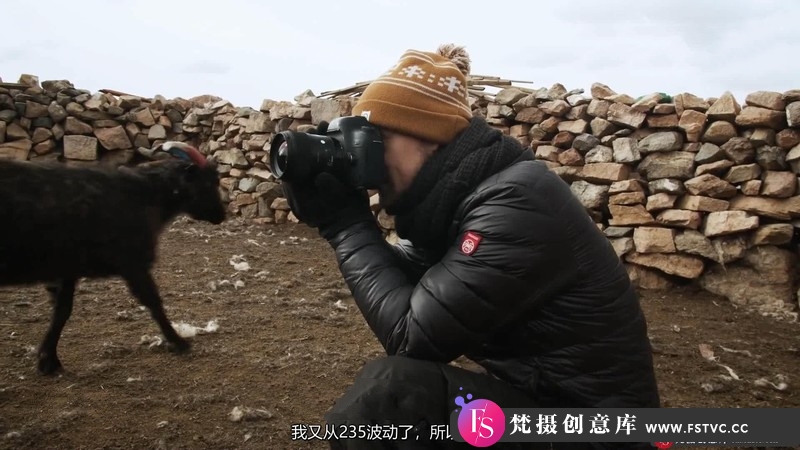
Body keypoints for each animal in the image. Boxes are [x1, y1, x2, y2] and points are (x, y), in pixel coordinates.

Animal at [0, 142, 225, 374]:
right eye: (209, 181)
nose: (221, 215)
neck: (145, 194)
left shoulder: (68, 269)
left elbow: (62, 311)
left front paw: (48, 360)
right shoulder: (133, 263)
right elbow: (153, 302)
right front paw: (179, 342)